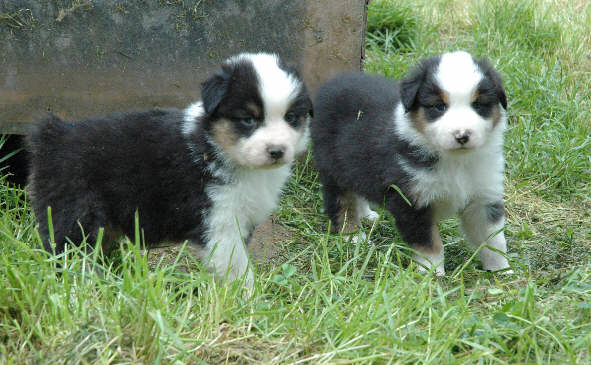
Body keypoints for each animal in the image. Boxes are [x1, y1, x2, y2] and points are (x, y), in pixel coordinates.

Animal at [27, 52, 314, 288]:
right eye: (248, 119)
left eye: (291, 118)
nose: (277, 150)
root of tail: (54, 136)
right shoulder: (218, 219)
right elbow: (237, 267)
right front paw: (247, 300)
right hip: (73, 213)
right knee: (66, 252)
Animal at [312, 50, 512, 272]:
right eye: (439, 106)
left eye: (478, 105)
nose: (462, 135)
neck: (455, 161)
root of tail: (331, 85)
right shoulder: (411, 201)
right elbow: (429, 242)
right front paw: (432, 272)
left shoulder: (483, 196)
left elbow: (493, 239)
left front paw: (502, 269)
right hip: (333, 165)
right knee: (340, 202)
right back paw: (353, 236)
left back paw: (366, 214)